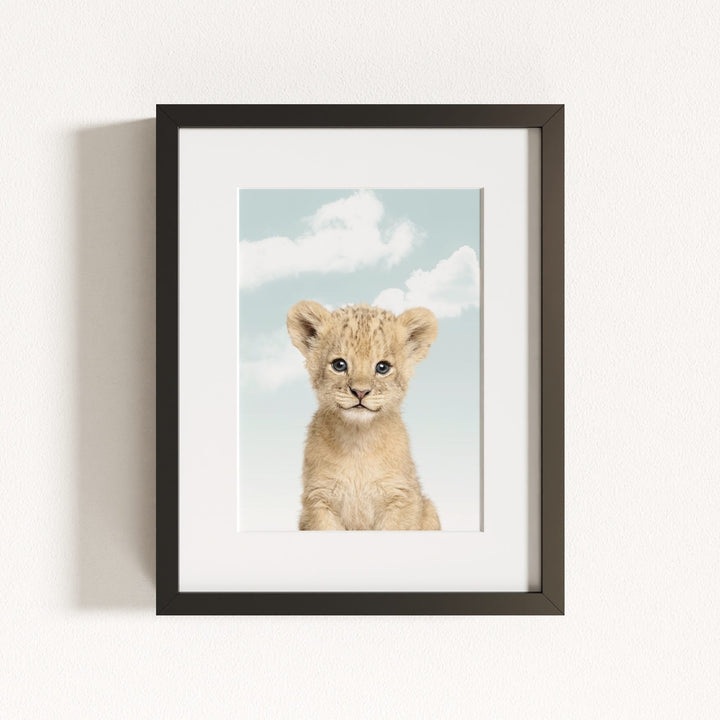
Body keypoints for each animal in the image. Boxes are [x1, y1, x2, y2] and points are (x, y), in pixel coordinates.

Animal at [287, 301, 441, 531]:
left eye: (382, 367)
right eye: (339, 365)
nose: (360, 392)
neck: (358, 442)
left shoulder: (402, 498)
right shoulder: (318, 500)